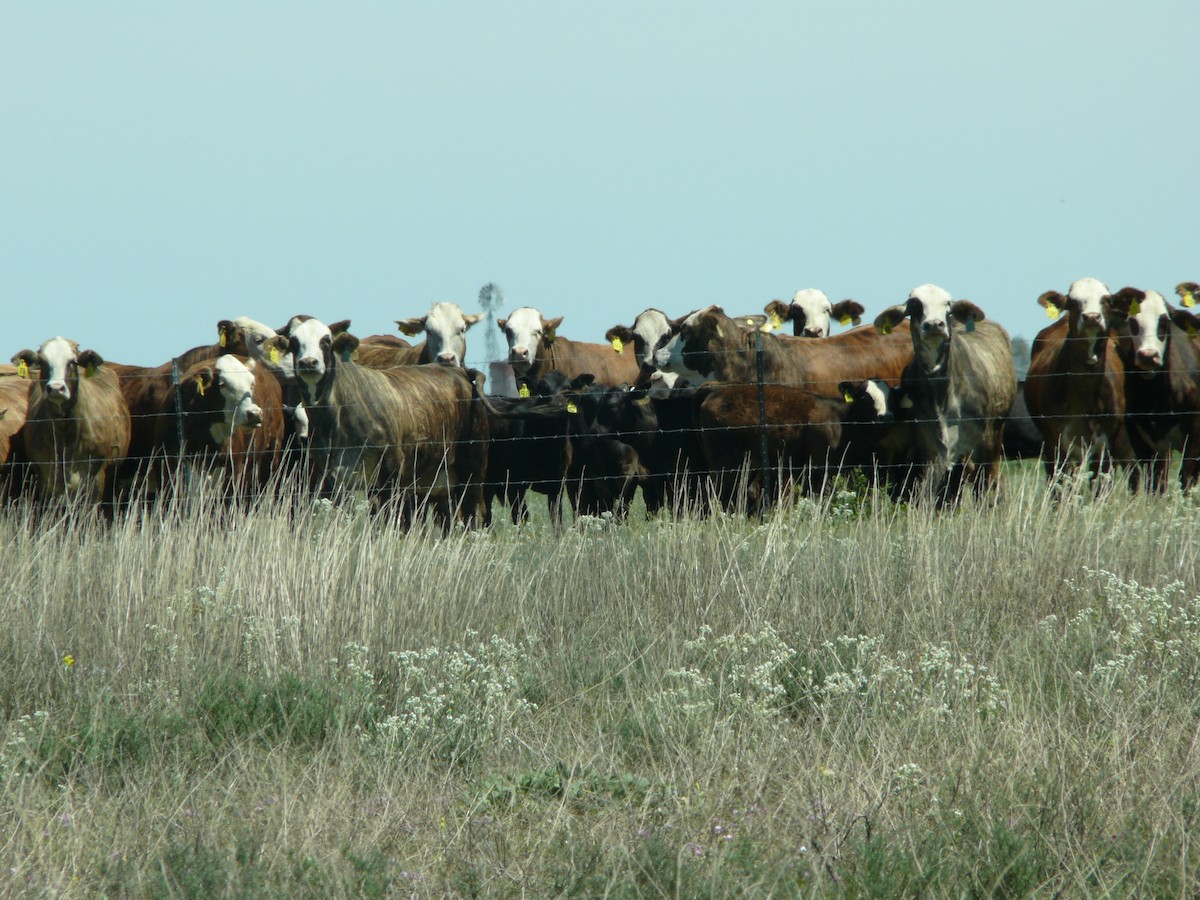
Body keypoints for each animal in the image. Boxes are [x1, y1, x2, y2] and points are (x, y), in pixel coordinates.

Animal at [266, 318, 489, 526]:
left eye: (326, 340)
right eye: (295, 341)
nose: (308, 362)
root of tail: (459, 371)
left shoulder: (389, 476)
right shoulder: (333, 479)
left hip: (472, 473)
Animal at [874, 285, 1017, 502]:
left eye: (947, 304)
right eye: (914, 304)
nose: (934, 324)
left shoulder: (983, 442)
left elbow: (981, 488)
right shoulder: (927, 447)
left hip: (996, 433)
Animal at [1106, 286, 1200, 492]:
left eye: (1164, 321)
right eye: (1133, 322)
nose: (1148, 356)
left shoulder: (1195, 436)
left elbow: (1186, 480)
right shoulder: (1142, 441)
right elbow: (1154, 485)